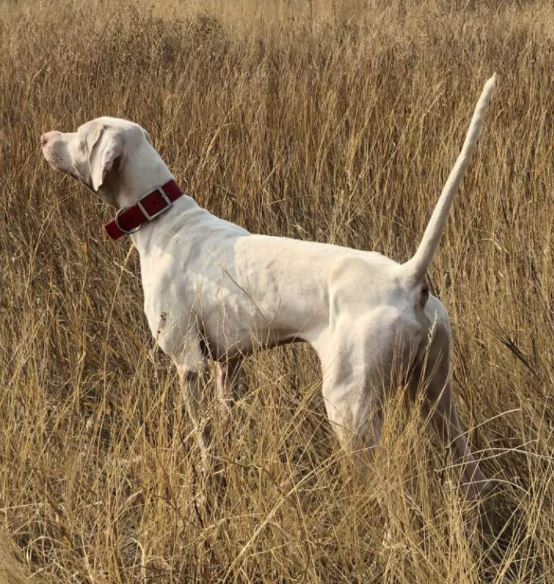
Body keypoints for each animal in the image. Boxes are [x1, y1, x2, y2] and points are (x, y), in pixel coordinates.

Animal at [41, 76, 494, 498]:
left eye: (82, 135)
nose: (45, 137)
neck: (162, 219)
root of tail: (407, 278)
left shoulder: (189, 364)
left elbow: (203, 437)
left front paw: (205, 483)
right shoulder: (227, 366)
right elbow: (224, 423)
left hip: (351, 406)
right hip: (437, 396)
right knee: (468, 467)